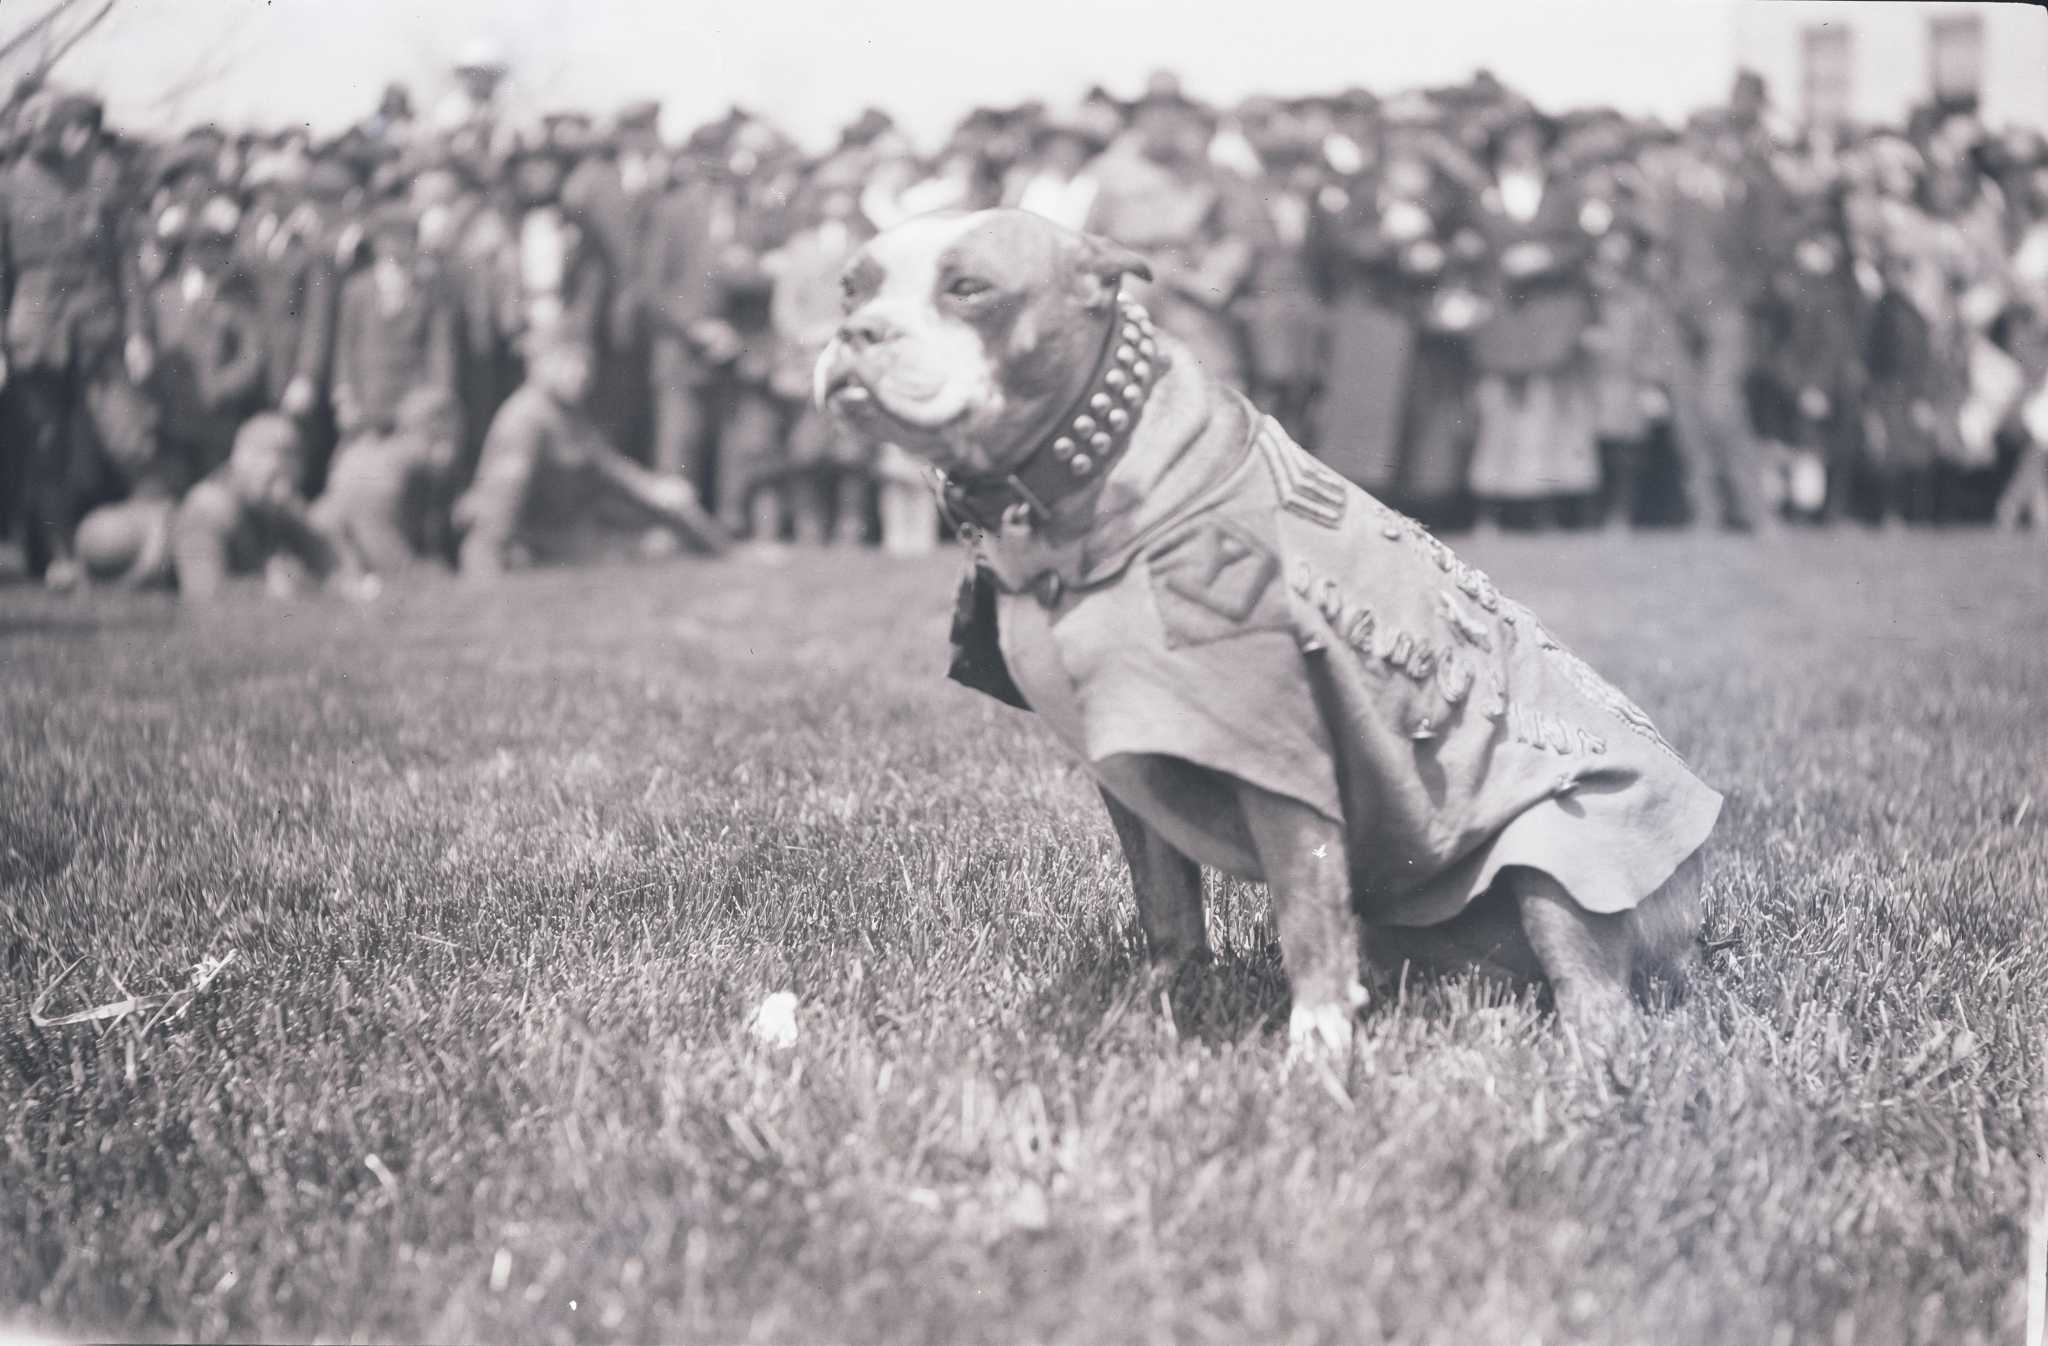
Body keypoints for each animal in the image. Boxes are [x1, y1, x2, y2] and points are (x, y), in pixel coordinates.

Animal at [815, 209, 1712, 1057]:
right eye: (851, 289)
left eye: (969, 289)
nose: (856, 332)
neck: (1091, 467)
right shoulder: (1131, 765)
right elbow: (1168, 911)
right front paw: (1152, 1012)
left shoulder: (1284, 768)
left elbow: (1307, 919)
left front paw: (1316, 1053)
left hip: (1567, 849)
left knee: (1594, 994)